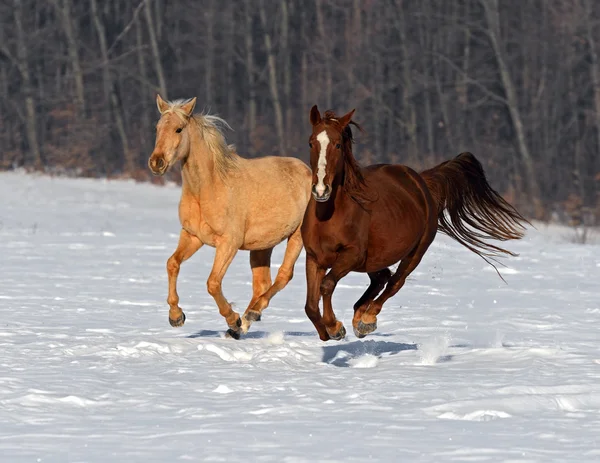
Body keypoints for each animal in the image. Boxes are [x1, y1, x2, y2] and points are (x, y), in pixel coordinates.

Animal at [148, 96, 312, 338]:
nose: (156, 163)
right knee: (262, 284)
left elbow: (213, 283)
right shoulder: (192, 236)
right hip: (262, 246)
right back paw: (245, 322)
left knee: (283, 275)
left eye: (179, 129)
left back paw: (247, 317)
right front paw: (176, 317)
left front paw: (232, 319)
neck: (208, 188)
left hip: (298, 236)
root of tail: (310, 172)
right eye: (157, 128)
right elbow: (172, 264)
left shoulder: (228, 243)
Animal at [302, 107, 528, 342]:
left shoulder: (351, 255)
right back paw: (359, 317)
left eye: (338, 144)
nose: (321, 190)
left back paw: (366, 321)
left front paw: (335, 327)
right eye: (311, 142)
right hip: (375, 259)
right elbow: (311, 305)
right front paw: (326, 331)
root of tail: (420, 181)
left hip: (414, 252)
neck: (329, 217)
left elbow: (327, 285)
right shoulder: (314, 257)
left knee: (395, 282)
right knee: (382, 277)